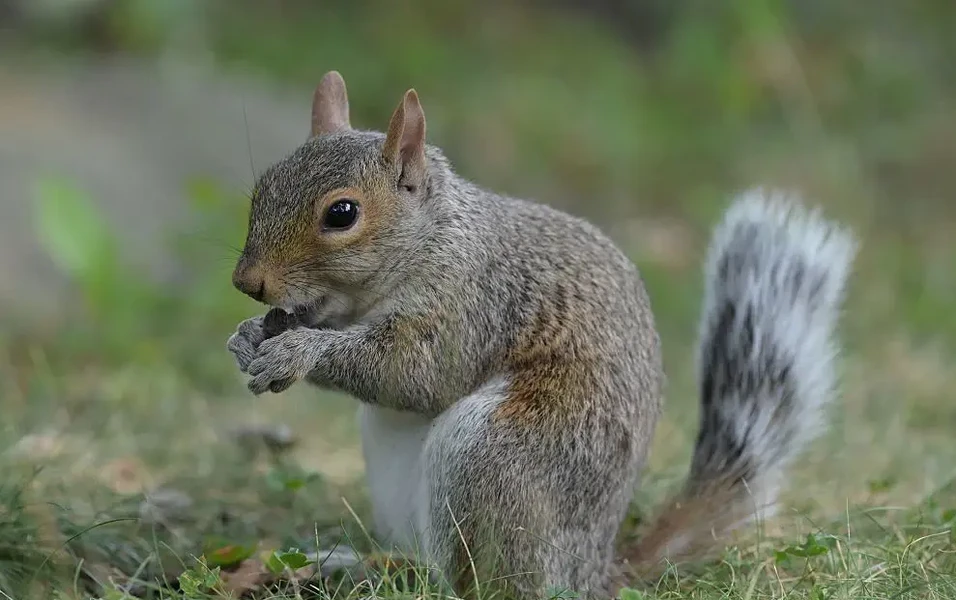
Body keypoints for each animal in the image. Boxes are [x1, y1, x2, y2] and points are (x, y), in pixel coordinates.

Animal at [226, 71, 857, 599]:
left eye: (342, 214)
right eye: (262, 189)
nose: (247, 282)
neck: (432, 240)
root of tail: (592, 570)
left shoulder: (473, 303)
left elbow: (415, 374)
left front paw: (297, 351)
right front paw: (248, 337)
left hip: (495, 458)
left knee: (487, 583)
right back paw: (357, 565)